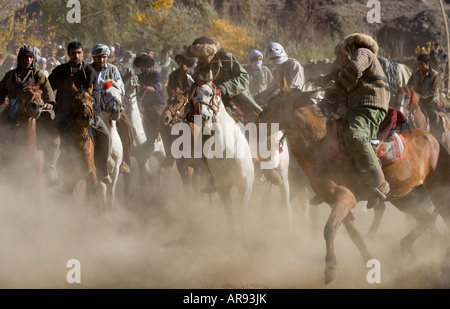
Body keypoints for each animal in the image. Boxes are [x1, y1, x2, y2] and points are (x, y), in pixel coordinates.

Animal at [189, 78, 253, 237]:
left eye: (210, 93)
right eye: (193, 98)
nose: (203, 117)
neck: (226, 150)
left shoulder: (246, 185)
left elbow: (241, 214)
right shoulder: (223, 187)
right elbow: (230, 215)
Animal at [258, 80, 450, 282]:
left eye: (272, 102)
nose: (257, 120)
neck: (319, 144)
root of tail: (434, 140)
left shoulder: (344, 197)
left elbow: (329, 228)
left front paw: (331, 267)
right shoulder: (338, 201)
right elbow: (354, 235)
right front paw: (369, 264)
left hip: (438, 193)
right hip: (402, 198)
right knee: (426, 218)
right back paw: (405, 246)